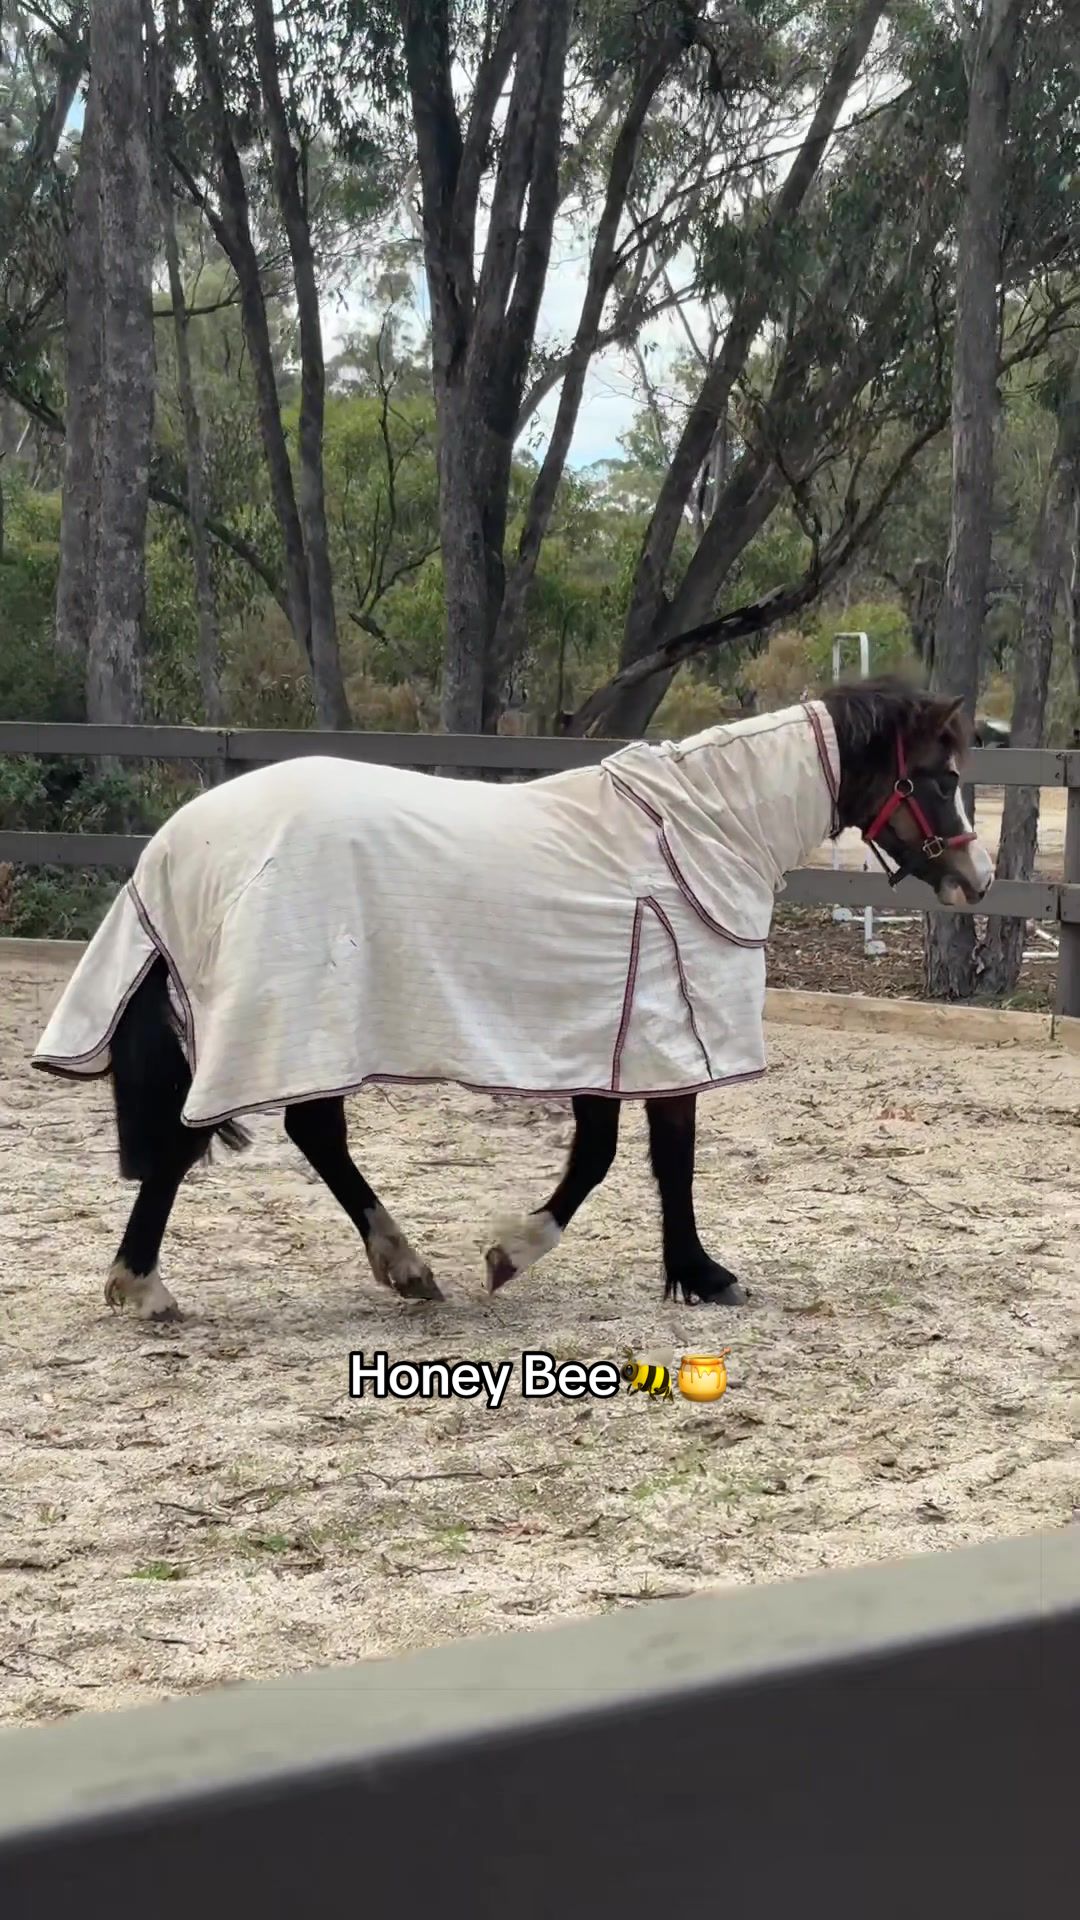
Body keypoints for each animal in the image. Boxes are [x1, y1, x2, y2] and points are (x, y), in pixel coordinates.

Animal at [31, 676, 993, 1324]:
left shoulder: (617, 1040)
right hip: (282, 1028)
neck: (694, 833)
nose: (976, 883)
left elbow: (626, 1156)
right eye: (940, 778)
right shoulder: (658, 1037)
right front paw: (556, 1259)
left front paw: (670, 1269)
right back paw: (148, 1285)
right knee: (204, 1137)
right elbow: (641, 1159)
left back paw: (399, 1267)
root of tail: (178, 843)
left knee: (304, 1134)